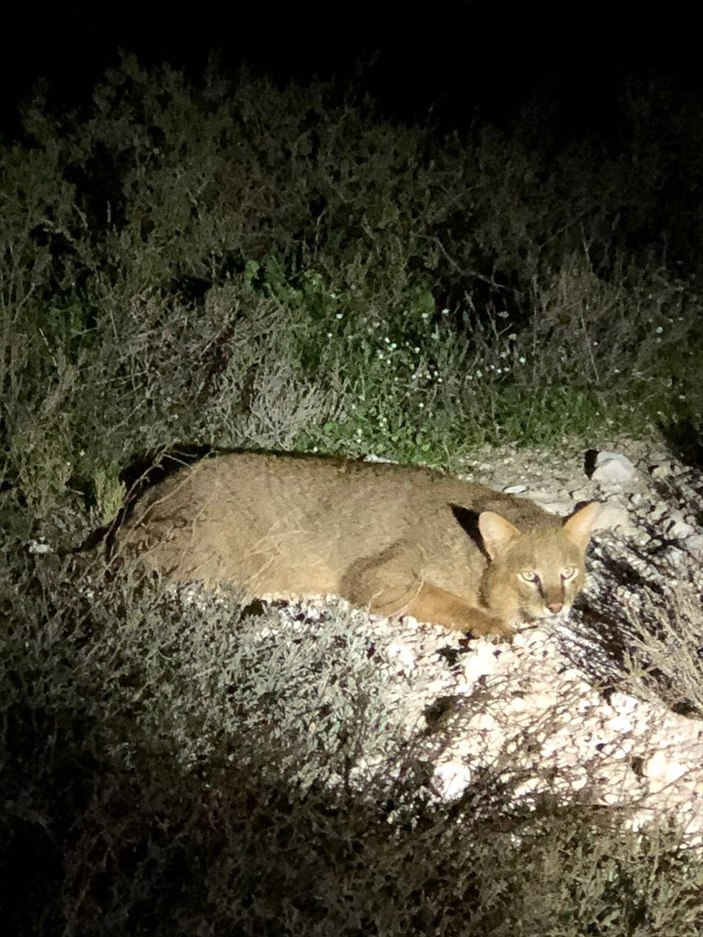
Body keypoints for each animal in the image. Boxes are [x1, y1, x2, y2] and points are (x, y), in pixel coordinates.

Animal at [115, 452, 600, 640]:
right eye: (530, 575)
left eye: (569, 573)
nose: (557, 606)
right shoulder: (376, 576)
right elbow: (445, 601)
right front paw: (493, 623)